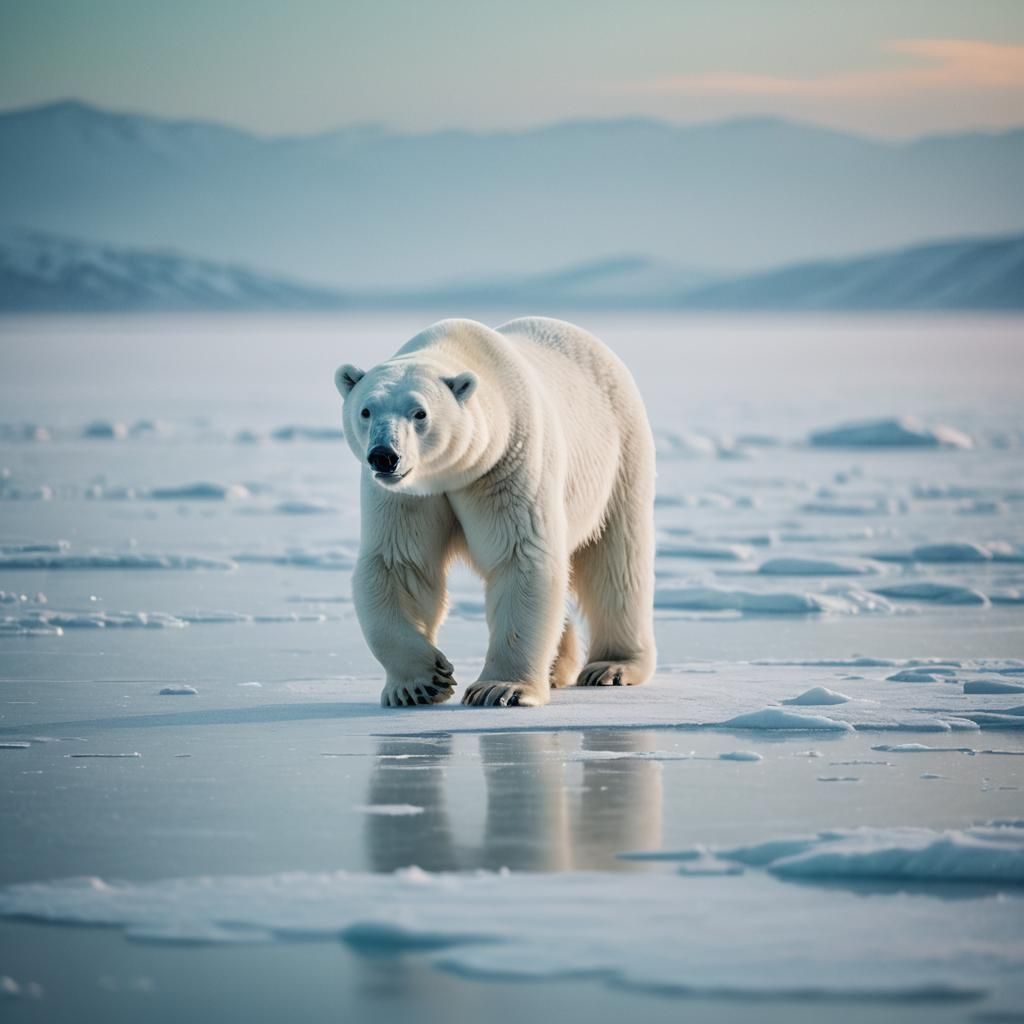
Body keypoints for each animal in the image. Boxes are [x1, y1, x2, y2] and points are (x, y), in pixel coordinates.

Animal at [334, 317, 656, 709]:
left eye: (420, 412)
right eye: (366, 410)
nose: (384, 455)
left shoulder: (507, 462)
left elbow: (520, 556)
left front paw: (501, 688)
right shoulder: (409, 495)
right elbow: (399, 563)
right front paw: (421, 682)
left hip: (620, 455)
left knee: (616, 562)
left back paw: (611, 666)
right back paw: (556, 668)